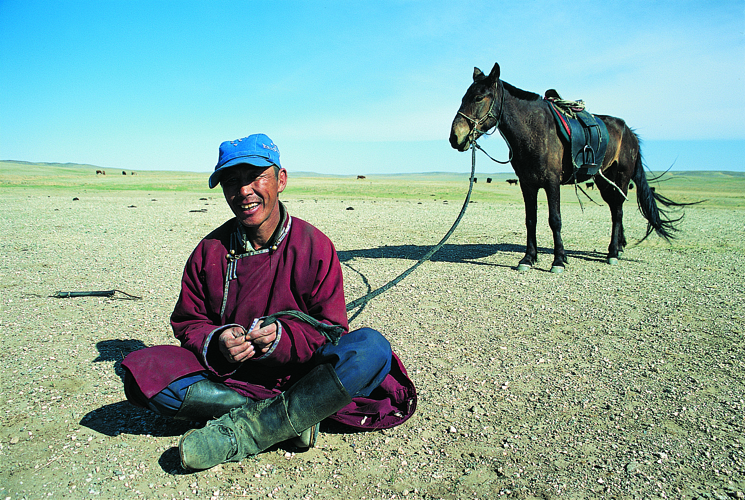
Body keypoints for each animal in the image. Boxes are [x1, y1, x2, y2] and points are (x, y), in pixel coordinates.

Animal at [450, 63, 688, 274]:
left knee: (618, 211)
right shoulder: (528, 184)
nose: (455, 137)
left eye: (479, 97)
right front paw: (528, 258)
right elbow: (530, 220)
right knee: (614, 209)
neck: (534, 129)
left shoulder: (552, 182)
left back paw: (612, 253)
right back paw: (619, 247)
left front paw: (558, 260)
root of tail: (630, 133)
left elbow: (555, 220)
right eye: (462, 98)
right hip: (603, 180)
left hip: (621, 177)